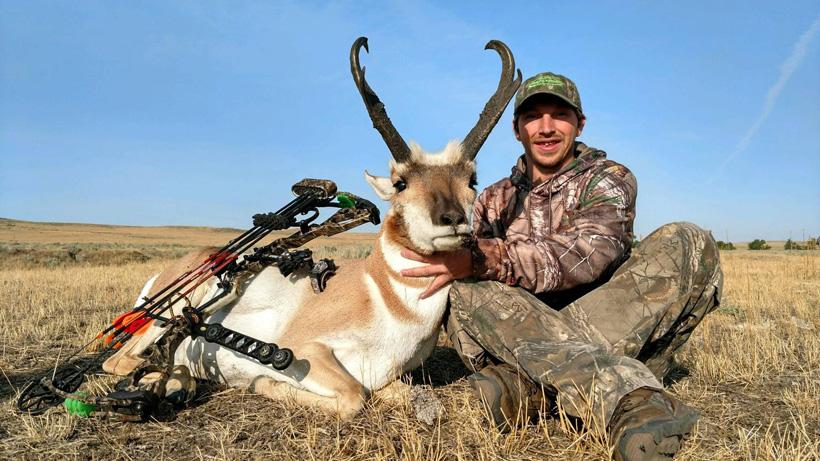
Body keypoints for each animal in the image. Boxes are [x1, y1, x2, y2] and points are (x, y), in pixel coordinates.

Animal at [103, 37, 521, 418]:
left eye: (472, 180)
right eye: (400, 182)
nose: (452, 219)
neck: (381, 293)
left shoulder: (390, 380)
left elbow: (400, 394)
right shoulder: (303, 347)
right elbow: (353, 397)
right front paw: (265, 381)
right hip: (179, 306)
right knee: (118, 360)